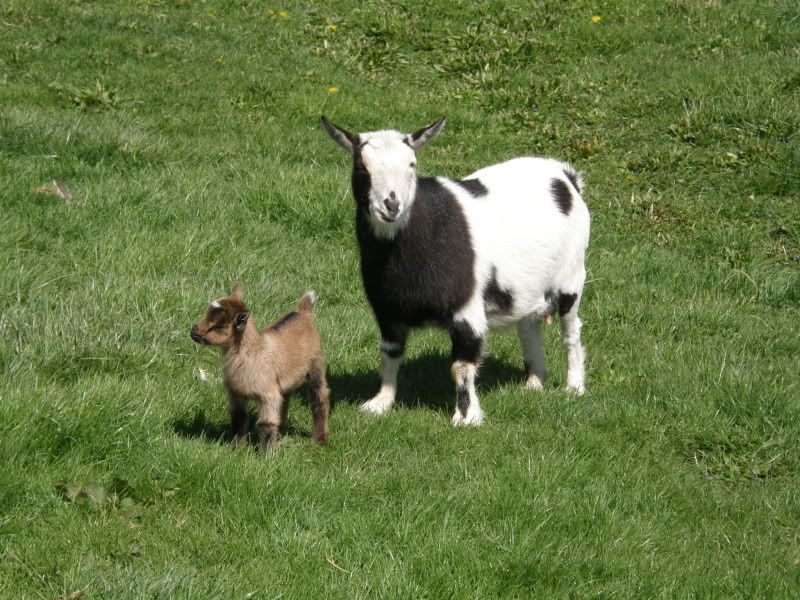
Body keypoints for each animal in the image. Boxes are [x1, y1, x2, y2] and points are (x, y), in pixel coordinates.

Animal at [190, 283, 330, 448]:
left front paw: (267, 453)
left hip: (316, 365)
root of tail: (303, 313)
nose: (193, 331)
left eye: (217, 327)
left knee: (319, 399)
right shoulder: (236, 393)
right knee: (285, 401)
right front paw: (238, 448)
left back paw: (320, 439)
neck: (253, 351)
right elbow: (239, 419)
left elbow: (266, 424)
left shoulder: (267, 395)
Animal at [321, 116, 590, 426]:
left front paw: (466, 417)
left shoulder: (467, 307)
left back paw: (574, 387)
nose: (392, 205)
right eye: (361, 166)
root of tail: (566, 177)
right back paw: (533, 383)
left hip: (572, 275)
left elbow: (461, 365)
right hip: (528, 286)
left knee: (571, 329)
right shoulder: (387, 309)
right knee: (528, 325)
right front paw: (379, 404)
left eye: (412, 164)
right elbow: (390, 353)